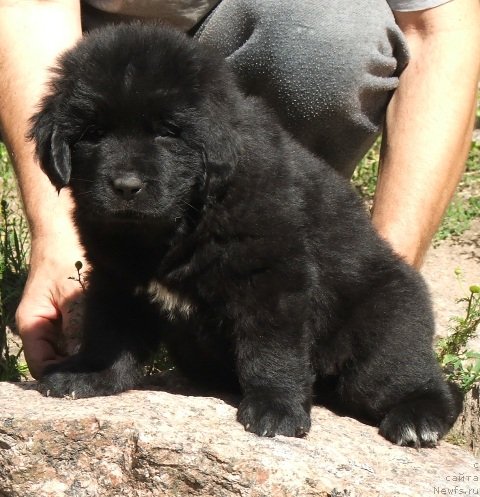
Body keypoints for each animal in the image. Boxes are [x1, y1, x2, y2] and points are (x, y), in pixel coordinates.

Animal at [29, 22, 462, 446]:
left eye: (167, 132)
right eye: (93, 132)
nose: (125, 186)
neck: (176, 223)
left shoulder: (272, 276)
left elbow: (271, 348)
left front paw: (276, 408)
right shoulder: (117, 278)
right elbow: (110, 331)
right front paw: (89, 374)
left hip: (383, 332)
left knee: (414, 381)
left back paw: (416, 419)